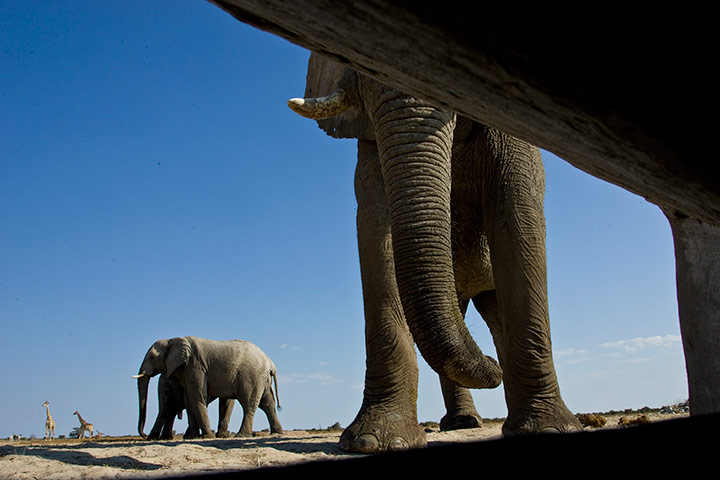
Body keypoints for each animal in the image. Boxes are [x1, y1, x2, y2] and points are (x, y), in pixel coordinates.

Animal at [135, 336, 283, 438]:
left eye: (152, 357)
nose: (143, 435)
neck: (174, 339)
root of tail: (270, 363)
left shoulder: (195, 365)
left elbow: (198, 396)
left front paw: (207, 436)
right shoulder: (188, 370)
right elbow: (190, 399)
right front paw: (193, 437)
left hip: (251, 377)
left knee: (249, 404)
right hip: (260, 378)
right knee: (267, 404)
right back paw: (277, 433)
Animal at [287, 53, 581, 453]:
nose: (491, 367)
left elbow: (518, 214)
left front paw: (550, 431)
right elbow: (376, 228)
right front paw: (374, 442)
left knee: (496, 316)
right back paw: (463, 422)